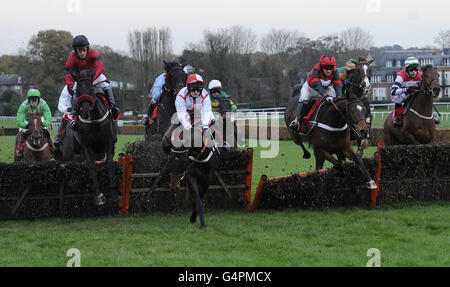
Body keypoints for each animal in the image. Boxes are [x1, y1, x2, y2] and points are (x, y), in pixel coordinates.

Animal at [69, 69, 118, 205]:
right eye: (77, 91)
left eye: (91, 88)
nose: (85, 111)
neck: (94, 120)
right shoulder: (87, 145)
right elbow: (91, 166)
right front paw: (99, 195)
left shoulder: (108, 142)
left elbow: (109, 163)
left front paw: (114, 194)